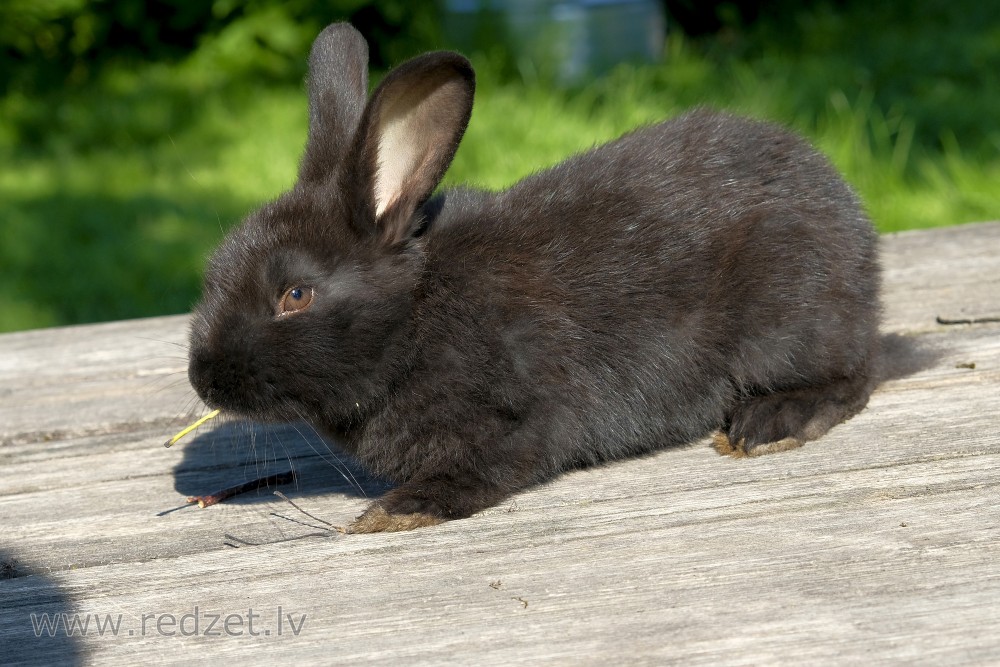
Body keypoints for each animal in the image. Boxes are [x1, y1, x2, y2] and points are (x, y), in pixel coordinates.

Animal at [186, 23, 876, 532]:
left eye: (295, 294)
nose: (203, 378)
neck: (414, 317)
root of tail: (855, 230)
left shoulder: (518, 418)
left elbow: (484, 470)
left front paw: (398, 510)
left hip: (788, 318)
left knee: (852, 379)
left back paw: (769, 425)